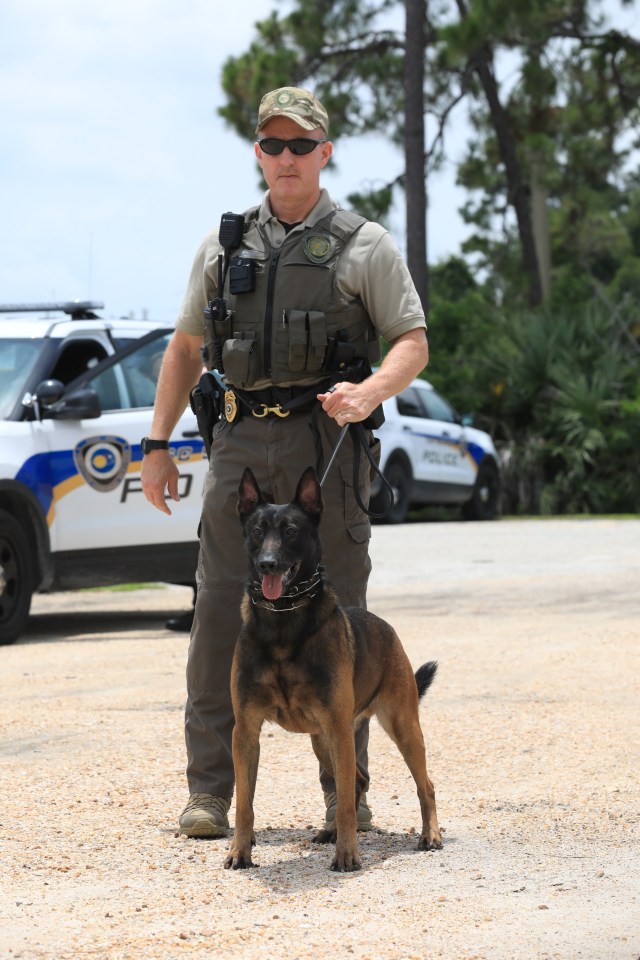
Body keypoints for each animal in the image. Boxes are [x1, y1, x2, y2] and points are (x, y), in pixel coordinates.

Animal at [226, 464, 444, 872]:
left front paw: (347, 855)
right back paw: (331, 832)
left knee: (423, 785)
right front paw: (239, 850)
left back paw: (430, 834)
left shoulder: (338, 728)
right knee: (356, 781)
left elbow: (342, 803)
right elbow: (245, 803)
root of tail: (386, 627)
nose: (268, 564)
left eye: (291, 531)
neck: (283, 622)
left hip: (398, 728)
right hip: (323, 739)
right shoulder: (246, 730)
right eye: (258, 531)